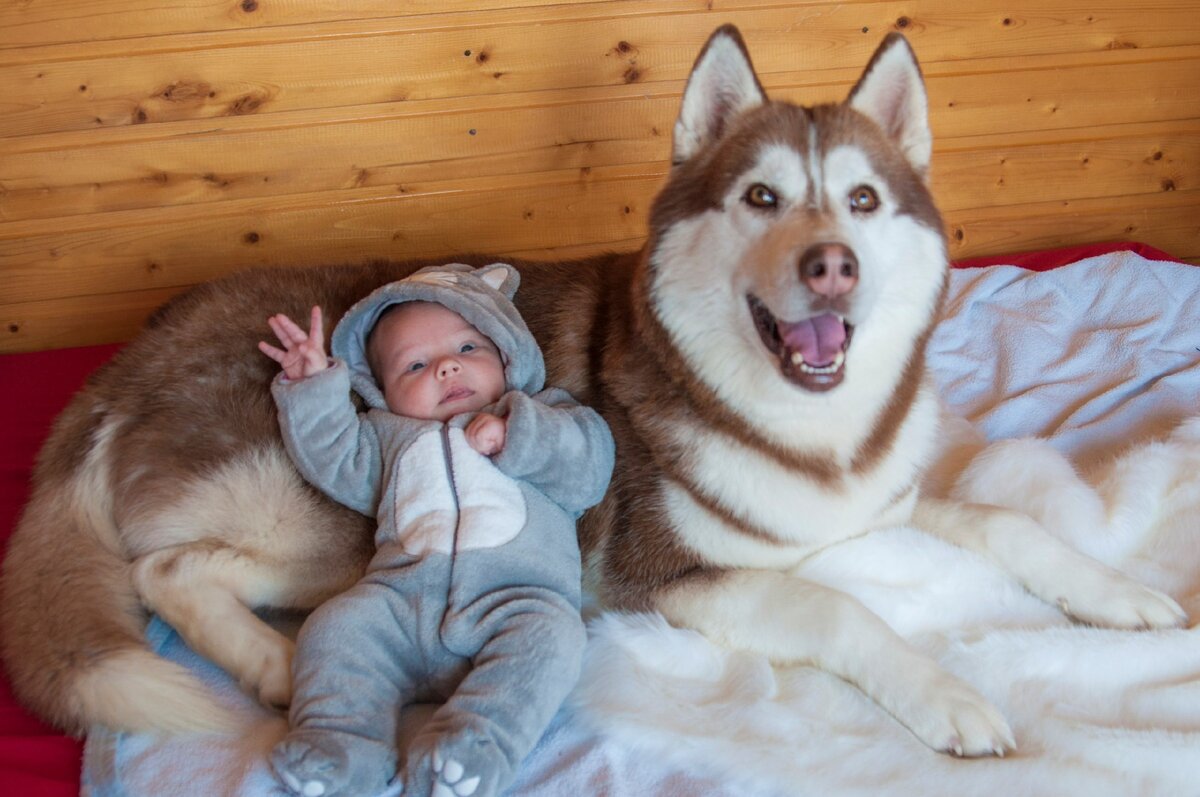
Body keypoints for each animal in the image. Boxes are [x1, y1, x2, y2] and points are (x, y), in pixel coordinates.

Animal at [0, 26, 1180, 758]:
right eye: (762, 198)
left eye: (860, 199)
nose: (832, 264)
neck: (805, 430)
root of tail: (125, 363)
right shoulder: (659, 579)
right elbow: (832, 603)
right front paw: (950, 695)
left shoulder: (865, 504)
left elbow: (995, 517)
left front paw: (1118, 595)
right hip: (324, 514)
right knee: (167, 570)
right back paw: (281, 666)